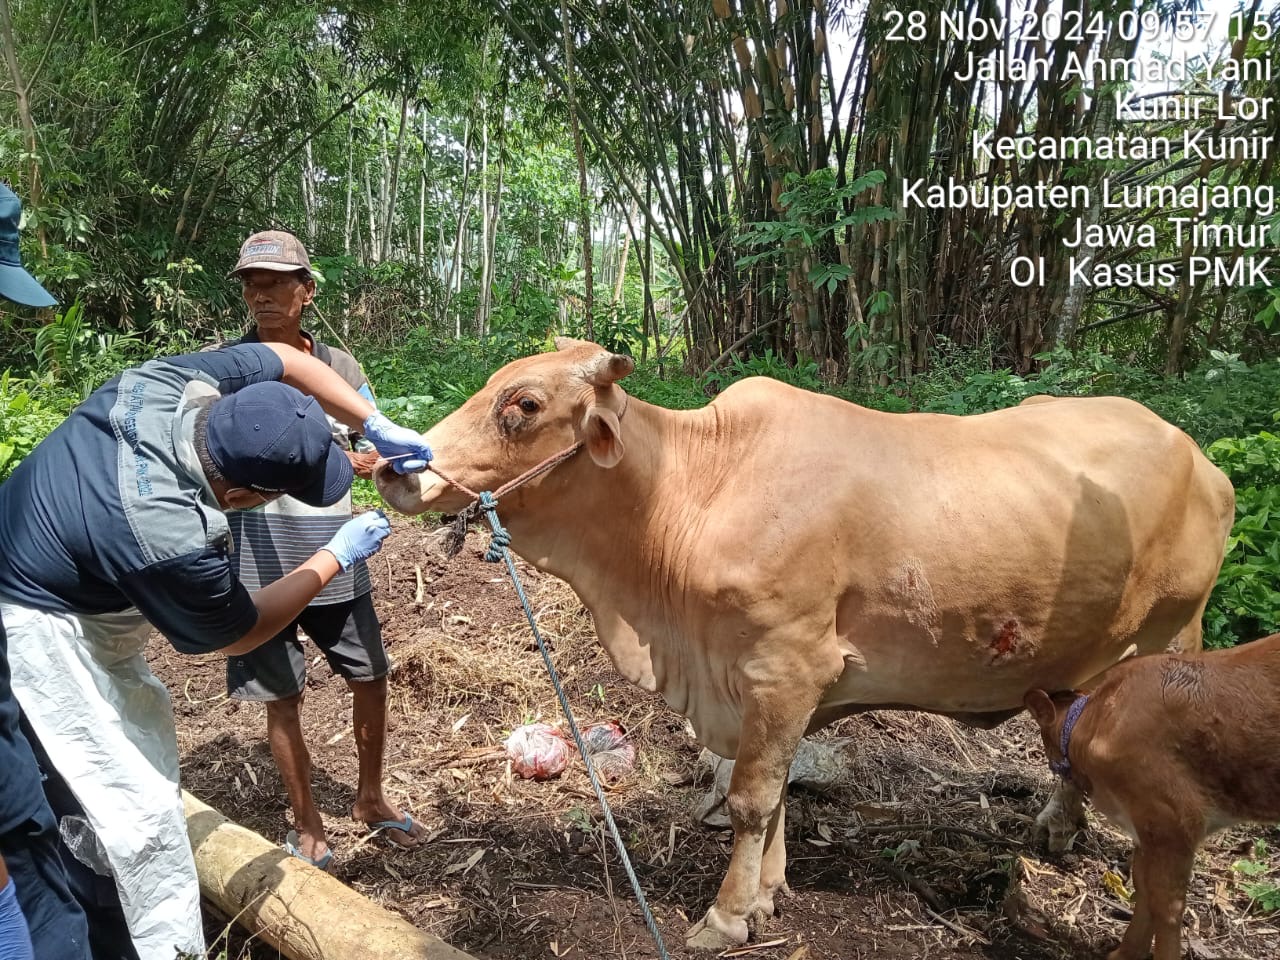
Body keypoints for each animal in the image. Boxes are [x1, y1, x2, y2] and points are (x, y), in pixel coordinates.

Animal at [373, 340, 1233, 957]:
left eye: (523, 404)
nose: (391, 467)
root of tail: (1198, 454)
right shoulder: (768, 687)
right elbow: (778, 790)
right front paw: (767, 892)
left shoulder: (785, 668)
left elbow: (753, 797)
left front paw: (726, 917)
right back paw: (1056, 828)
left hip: (1174, 632)